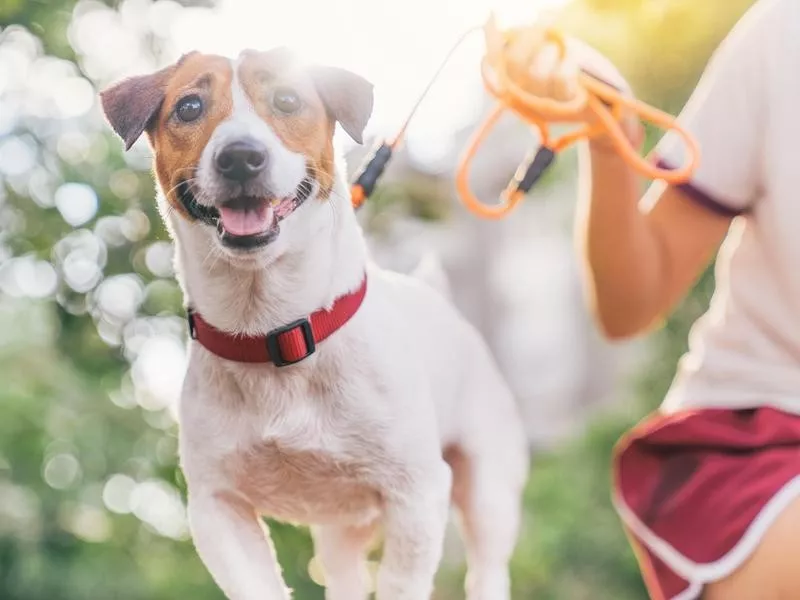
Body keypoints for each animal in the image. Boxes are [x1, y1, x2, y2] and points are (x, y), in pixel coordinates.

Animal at [100, 48, 528, 600]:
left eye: (287, 100)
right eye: (190, 107)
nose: (240, 156)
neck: (276, 332)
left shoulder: (416, 495)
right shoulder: (218, 509)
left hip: (487, 491)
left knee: (487, 565)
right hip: (341, 529)